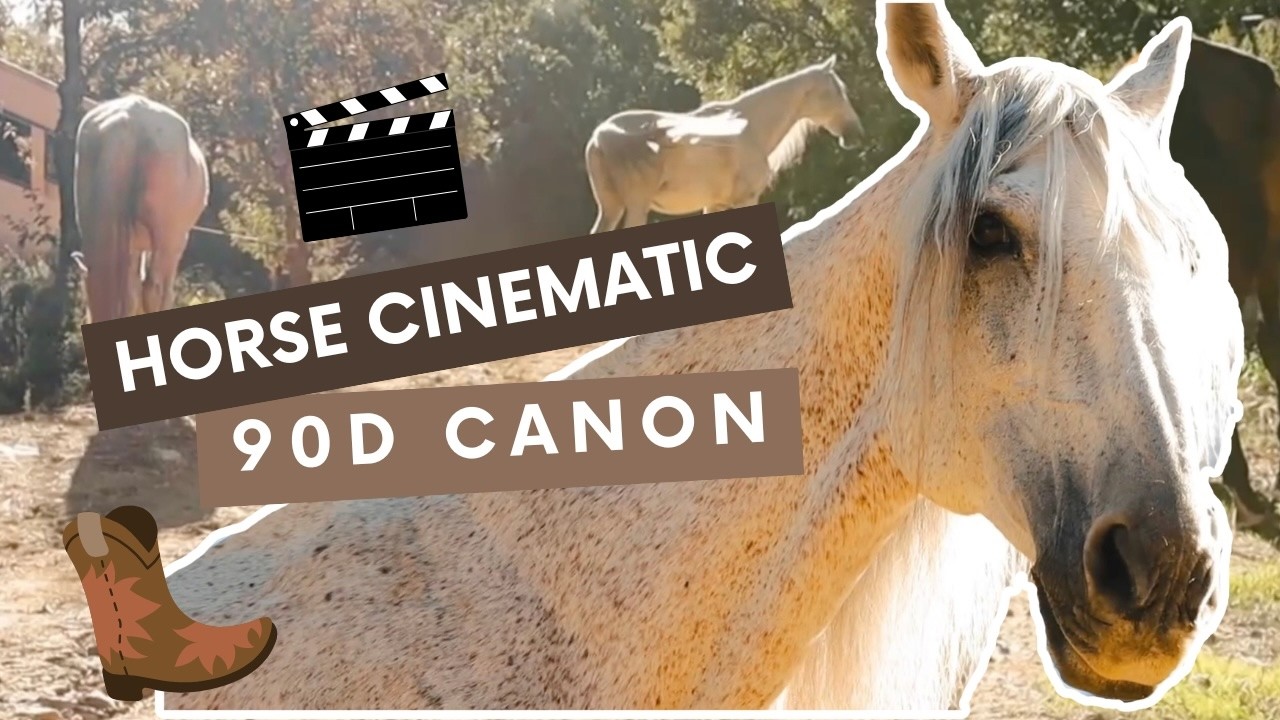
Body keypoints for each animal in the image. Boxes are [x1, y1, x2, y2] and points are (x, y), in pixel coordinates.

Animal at [584, 56, 864, 234]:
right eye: (837, 91)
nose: (855, 133)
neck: (749, 128)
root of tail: (599, 138)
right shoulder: (745, 199)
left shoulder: (715, 204)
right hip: (635, 207)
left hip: (611, 209)